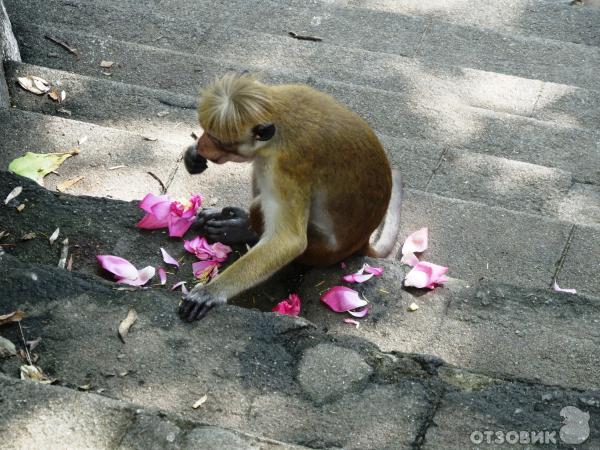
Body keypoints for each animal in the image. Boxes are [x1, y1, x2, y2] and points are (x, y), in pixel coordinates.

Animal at [178, 73, 404, 320]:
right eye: (205, 131)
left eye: (219, 142)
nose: (203, 145)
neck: (279, 121)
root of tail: (362, 243)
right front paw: (193, 153)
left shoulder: (285, 169)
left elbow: (289, 241)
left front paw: (211, 291)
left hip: (322, 252)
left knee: (262, 204)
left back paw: (243, 230)